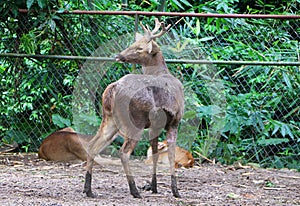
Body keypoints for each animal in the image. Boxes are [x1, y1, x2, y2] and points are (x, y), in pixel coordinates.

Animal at [83, 18, 184, 199]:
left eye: (139, 48)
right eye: (134, 43)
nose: (118, 55)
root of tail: (113, 88)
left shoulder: (155, 126)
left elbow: (155, 153)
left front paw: (154, 186)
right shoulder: (175, 121)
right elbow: (171, 155)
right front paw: (175, 190)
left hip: (109, 119)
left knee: (92, 145)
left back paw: (88, 190)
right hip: (135, 121)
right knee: (124, 152)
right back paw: (134, 190)